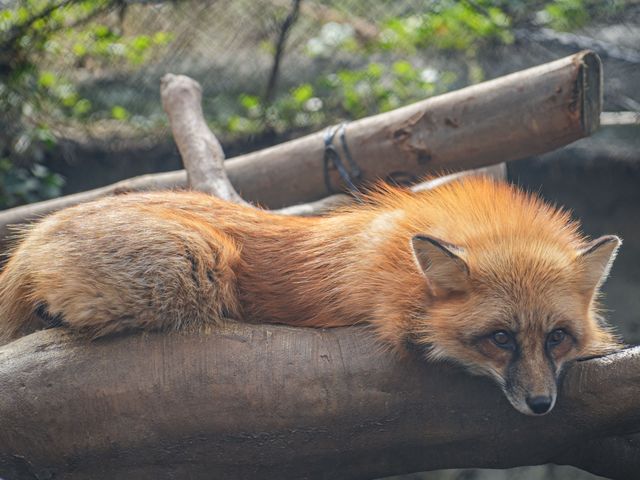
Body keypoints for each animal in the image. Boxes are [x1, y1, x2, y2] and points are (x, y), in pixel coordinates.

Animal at [0, 176, 620, 416]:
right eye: (500, 339)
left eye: (556, 337)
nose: (540, 405)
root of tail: (34, 234)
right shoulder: (389, 301)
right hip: (194, 266)